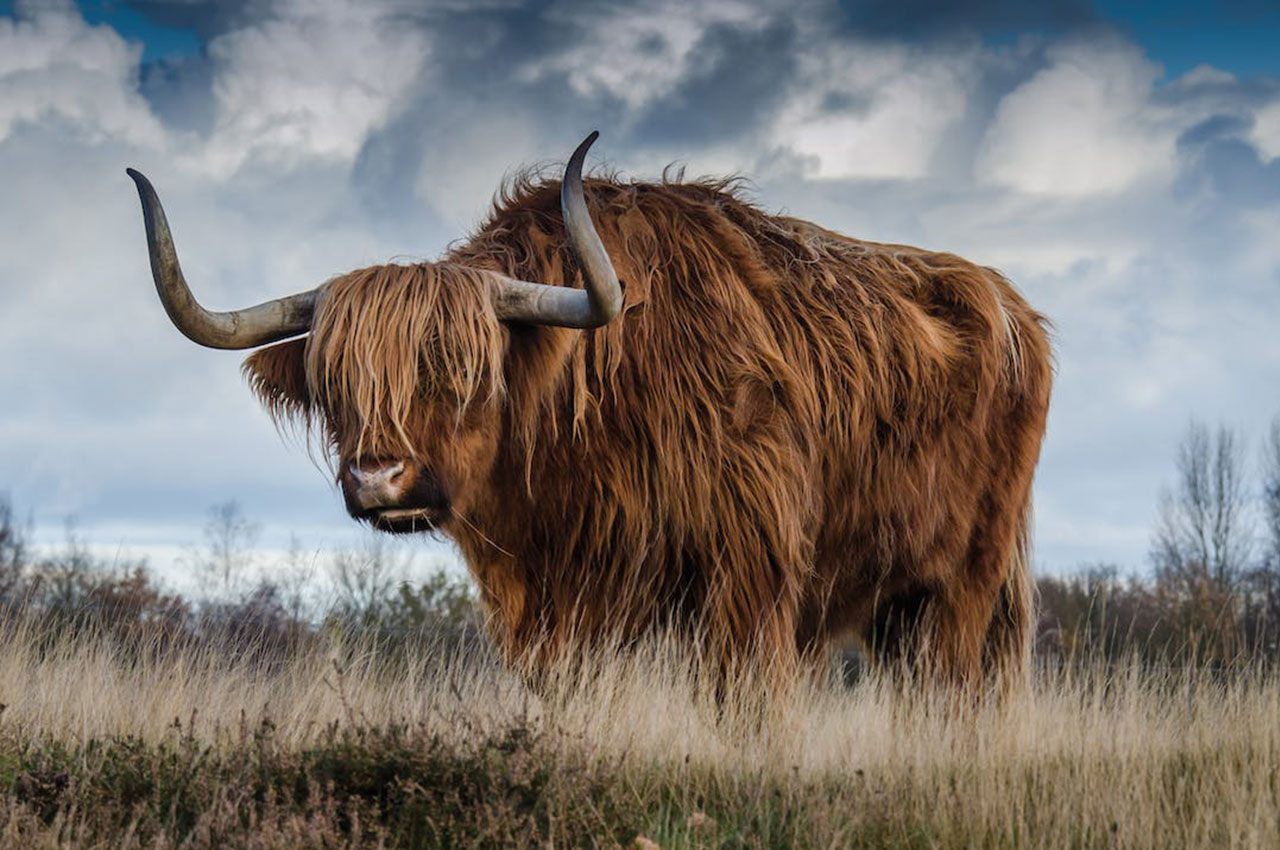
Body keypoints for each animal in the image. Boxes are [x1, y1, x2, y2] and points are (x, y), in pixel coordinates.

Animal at [127, 134, 1049, 691]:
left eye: (464, 371)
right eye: (335, 383)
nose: (378, 479)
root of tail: (1012, 306)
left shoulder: (750, 574)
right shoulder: (556, 603)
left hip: (965, 583)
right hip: (901, 603)